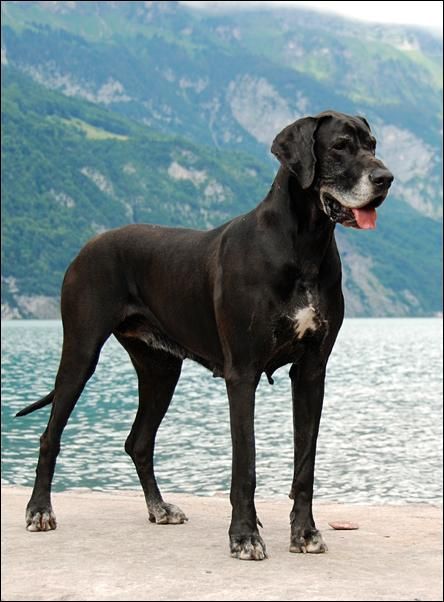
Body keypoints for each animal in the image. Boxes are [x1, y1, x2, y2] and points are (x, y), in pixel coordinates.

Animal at [16, 110, 393, 560]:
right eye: (339, 146)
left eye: (372, 144)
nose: (386, 178)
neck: (304, 243)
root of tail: (87, 245)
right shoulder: (242, 374)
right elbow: (245, 465)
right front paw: (244, 535)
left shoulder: (311, 372)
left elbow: (305, 463)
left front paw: (304, 533)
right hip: (80, 353)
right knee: (49, 436)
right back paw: (39, 510)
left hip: (161, 370)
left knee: (138, 441)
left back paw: (159, 507)